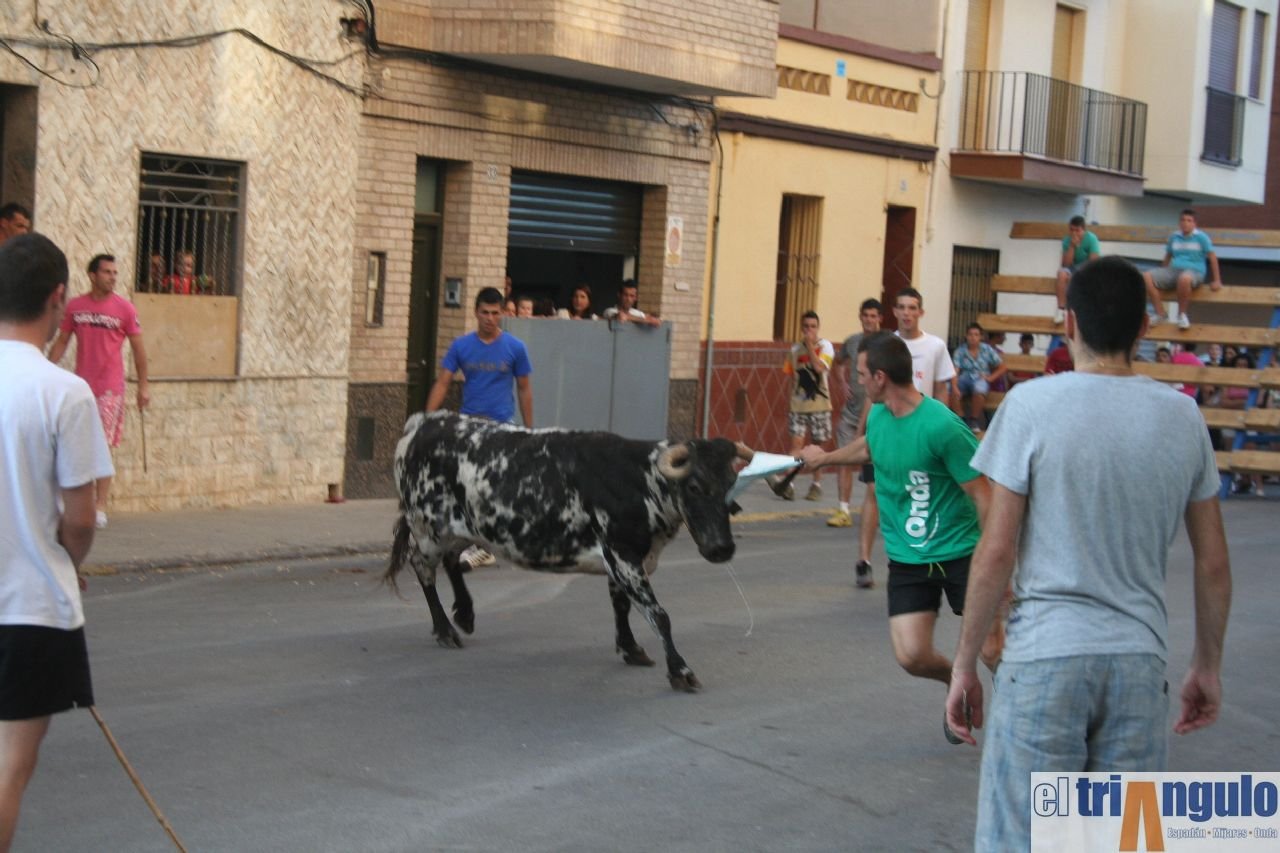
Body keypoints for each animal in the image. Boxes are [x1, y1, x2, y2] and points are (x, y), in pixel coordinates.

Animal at [384, 411, 751, 692]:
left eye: (730, 485)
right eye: (694, 486)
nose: (722, 548)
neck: (641, 480)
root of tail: (424, 421)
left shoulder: (621, 561)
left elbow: (622, 606)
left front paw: (630, 648)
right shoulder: (623, 555)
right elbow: (658, 615)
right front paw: (680, 671)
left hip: (462, 527)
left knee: (450, 560)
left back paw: (465, 613)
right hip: (428, 528)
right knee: (422, 566)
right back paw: (445, 630)